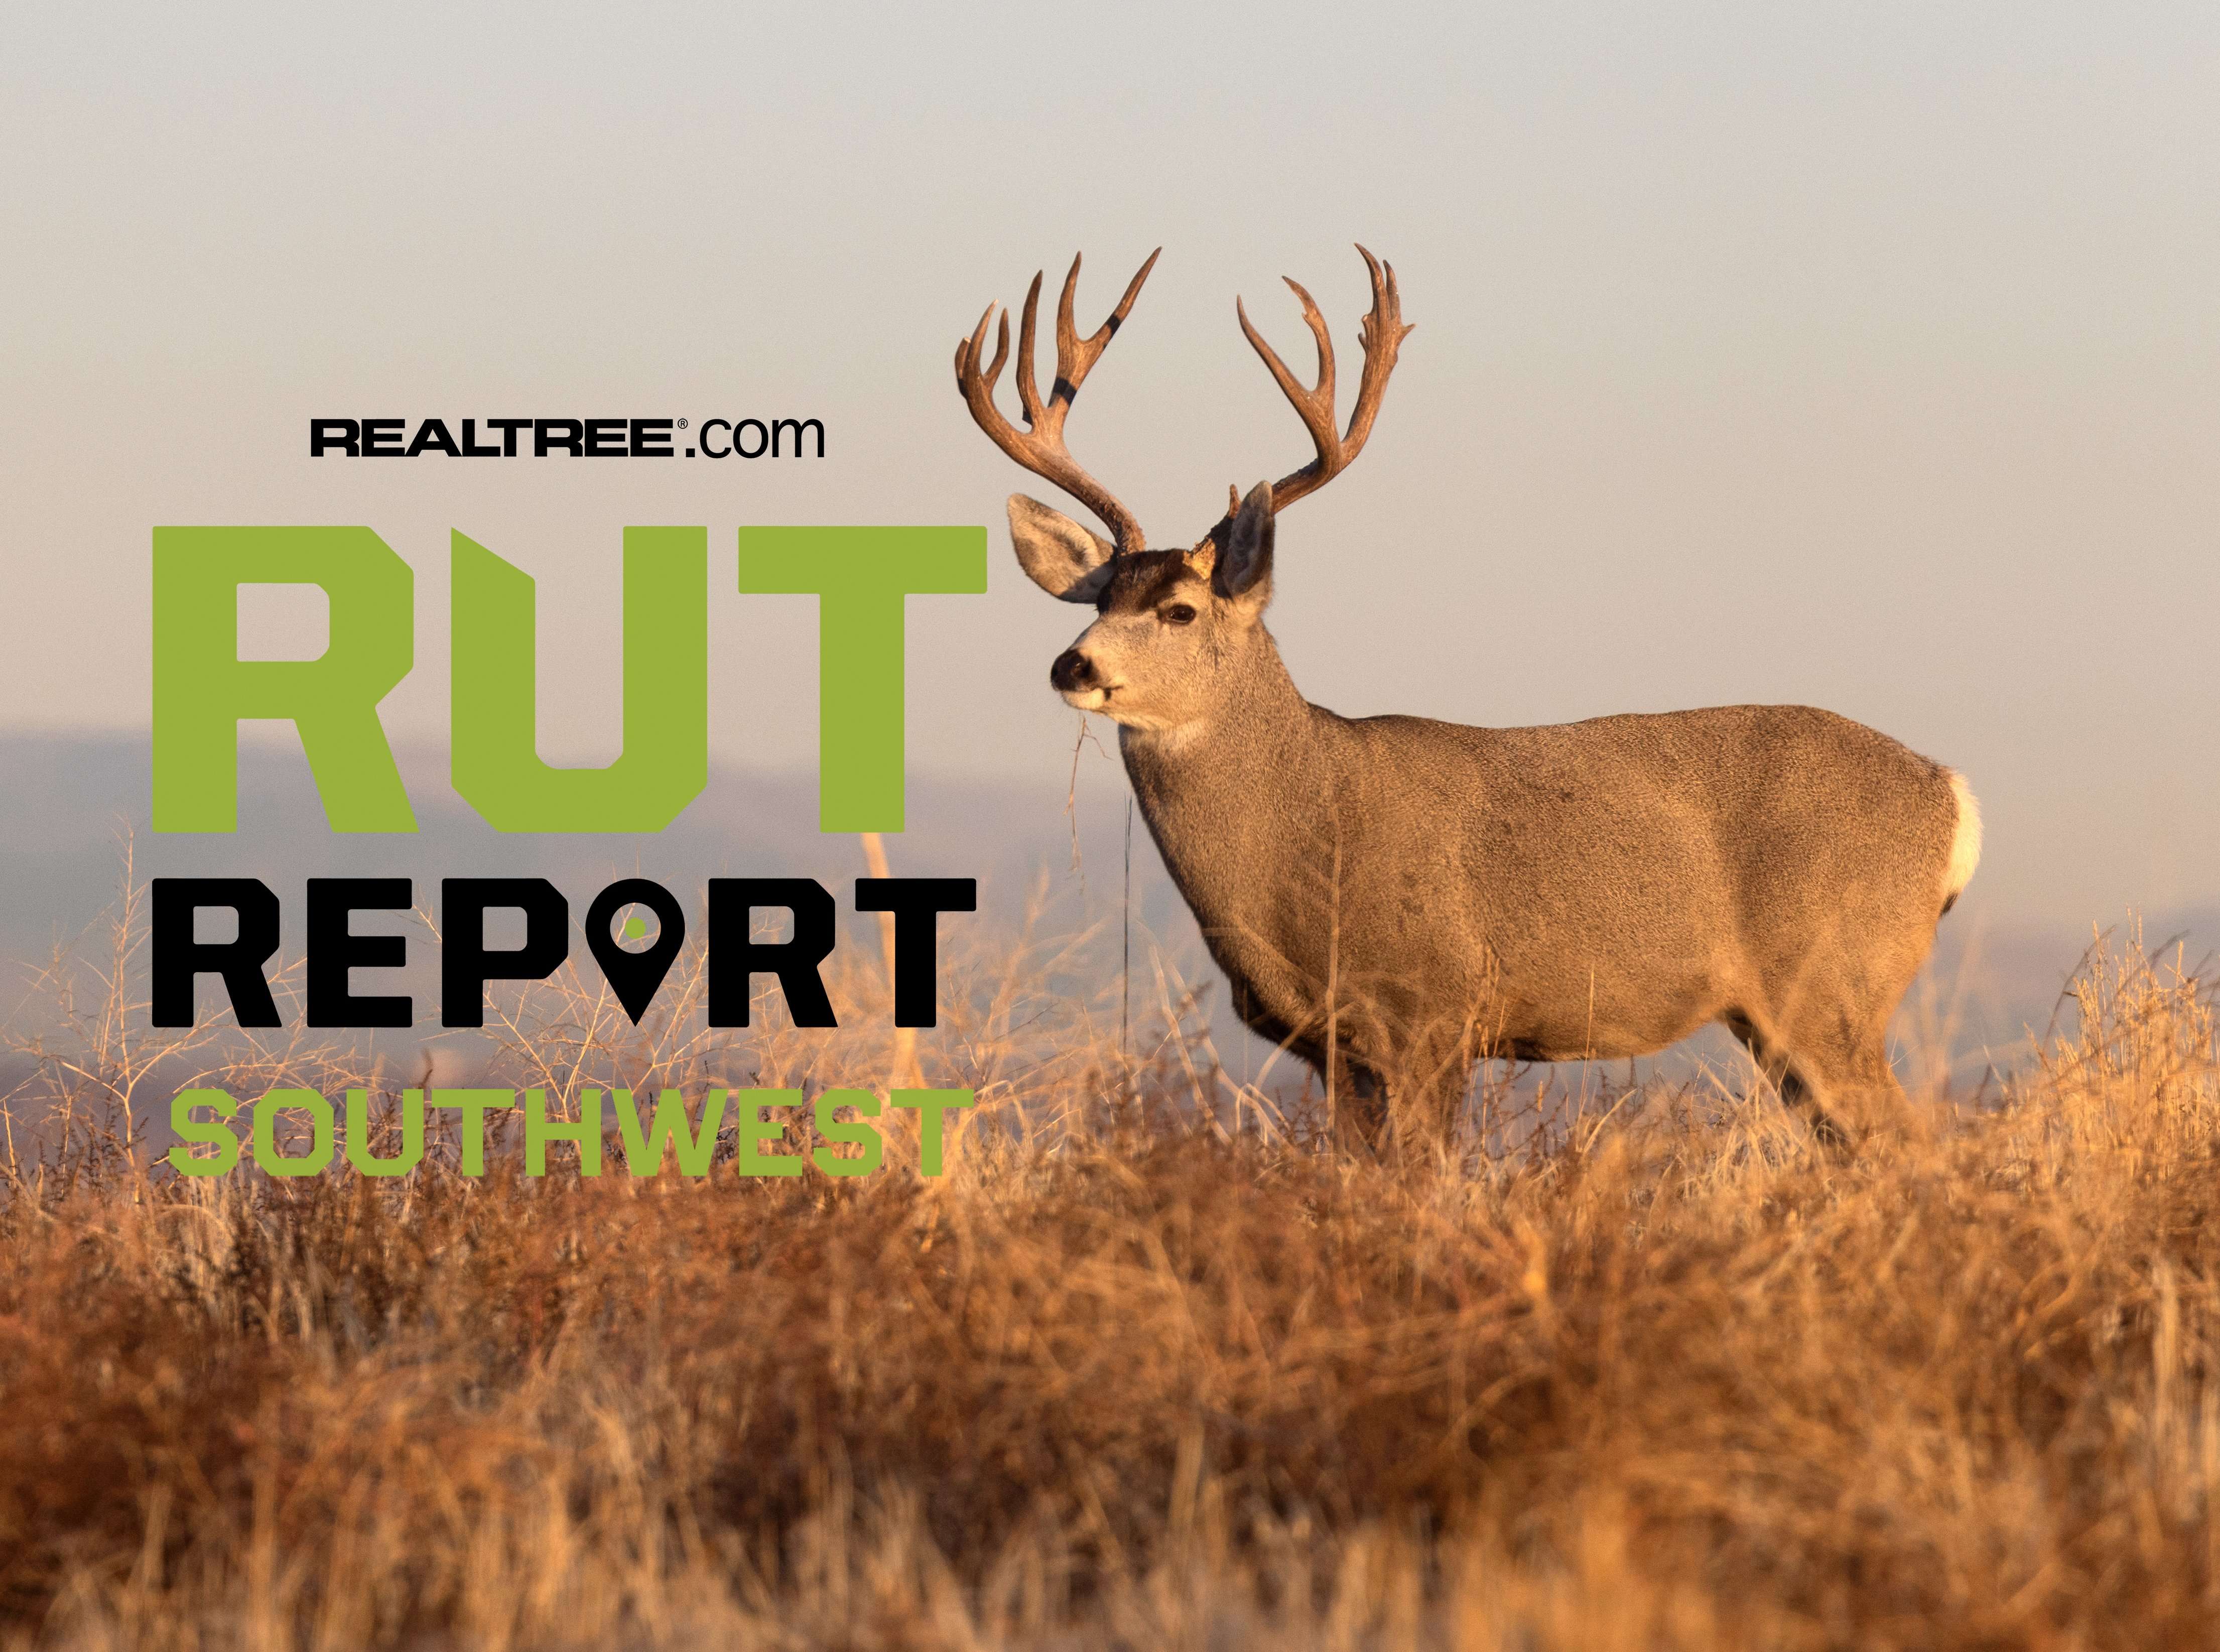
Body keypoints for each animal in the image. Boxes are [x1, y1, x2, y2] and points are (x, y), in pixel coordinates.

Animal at [954, 247, 1982, 1149]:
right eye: (1097, 599)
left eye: (1177, 609)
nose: (1073, 666)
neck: (1309, 834)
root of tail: (1953, 797)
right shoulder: (1333, 1051)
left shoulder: (1431, 1012)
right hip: (1781, 1017)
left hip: (1833, 982)